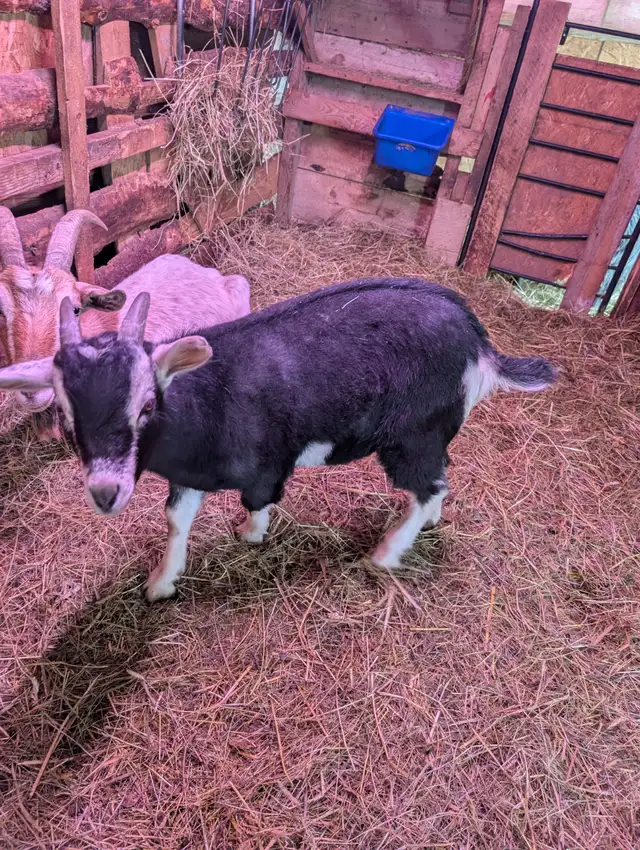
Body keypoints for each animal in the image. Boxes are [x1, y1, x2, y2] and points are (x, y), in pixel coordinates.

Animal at [0, 279, 557, 601]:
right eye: (66, 414)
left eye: (146, 406)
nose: (105, 493)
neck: (207, 396)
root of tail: (478, 339)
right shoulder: (191, 472)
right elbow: (177, 519)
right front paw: (162, 582)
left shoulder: (266, 462)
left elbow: (257, 500)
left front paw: (251, 534)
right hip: (433, 432)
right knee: (442, 477)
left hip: (410, 435)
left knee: (427, 486)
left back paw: (386, 553)